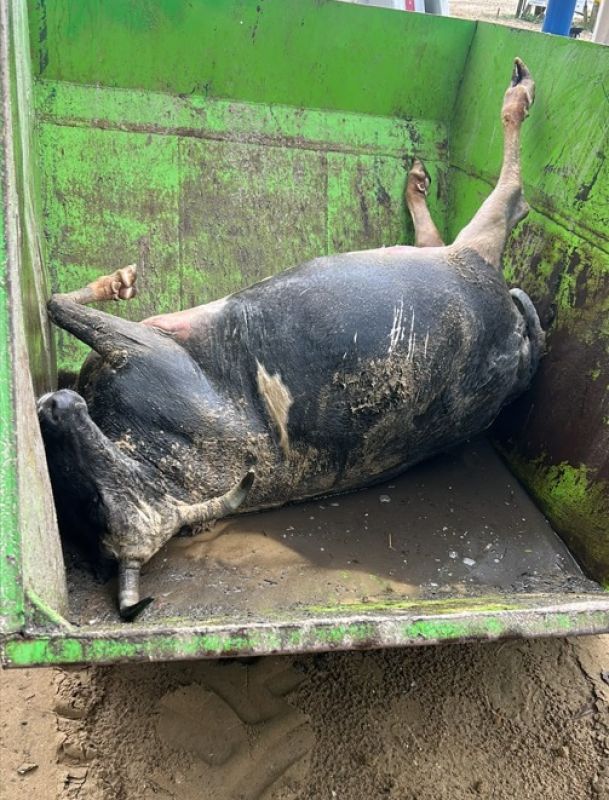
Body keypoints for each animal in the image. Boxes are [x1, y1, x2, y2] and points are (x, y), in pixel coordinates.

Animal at [38, 59, 543, 620]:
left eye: (96, 503)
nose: (56, 405)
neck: (162, 463)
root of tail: (522, 342)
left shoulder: (144, 347)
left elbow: (56, 301)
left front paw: (116, 282)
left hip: (471, 256)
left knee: (513, 197)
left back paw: (517, 95)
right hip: (450, 259)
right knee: (448, 230)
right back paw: (417, 182)